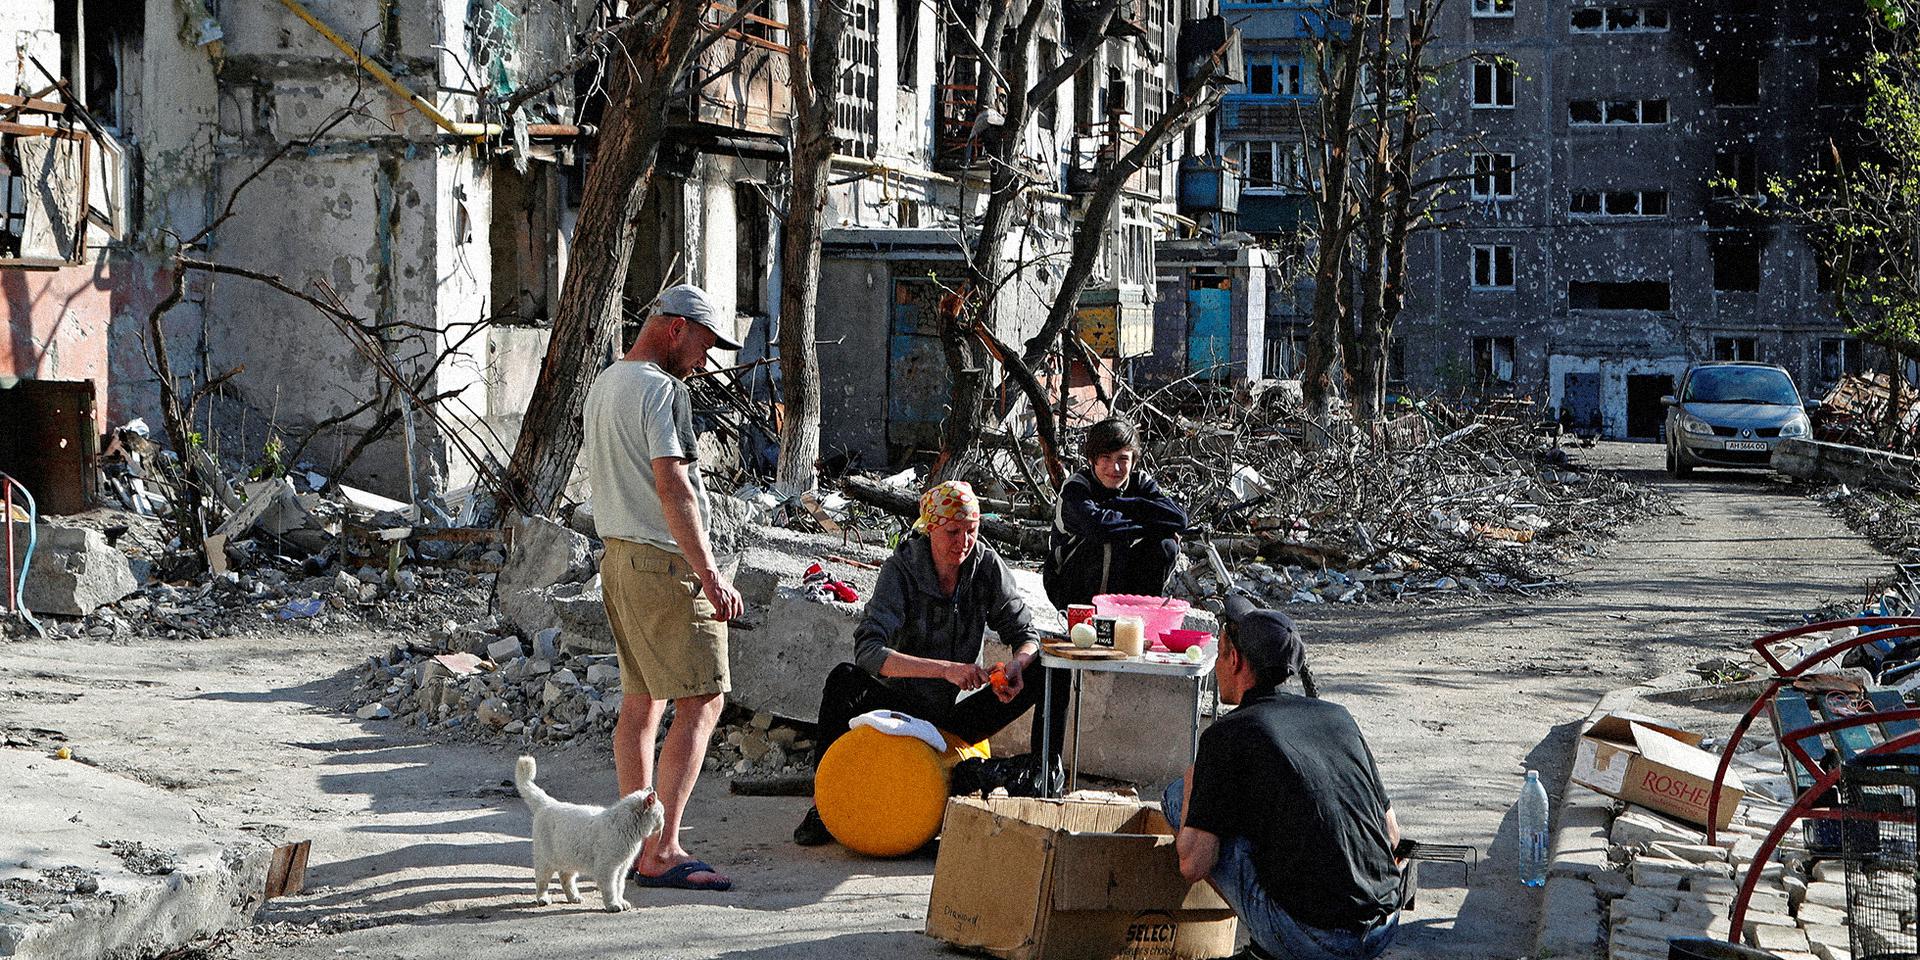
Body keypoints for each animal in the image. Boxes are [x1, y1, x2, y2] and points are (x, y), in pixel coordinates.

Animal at [514, 756, 664, 906]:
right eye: (661, 813)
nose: (663, 822)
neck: (625, 825)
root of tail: (548, 802)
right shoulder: (608, 868)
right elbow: (610, 889)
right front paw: (613, 904)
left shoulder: (622, 868)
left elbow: (619, 886)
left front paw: (621, 902)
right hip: (545, 861)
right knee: (542, 882)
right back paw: (543, 899)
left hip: (569, 858)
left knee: (565, 877)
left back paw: (574, 897)